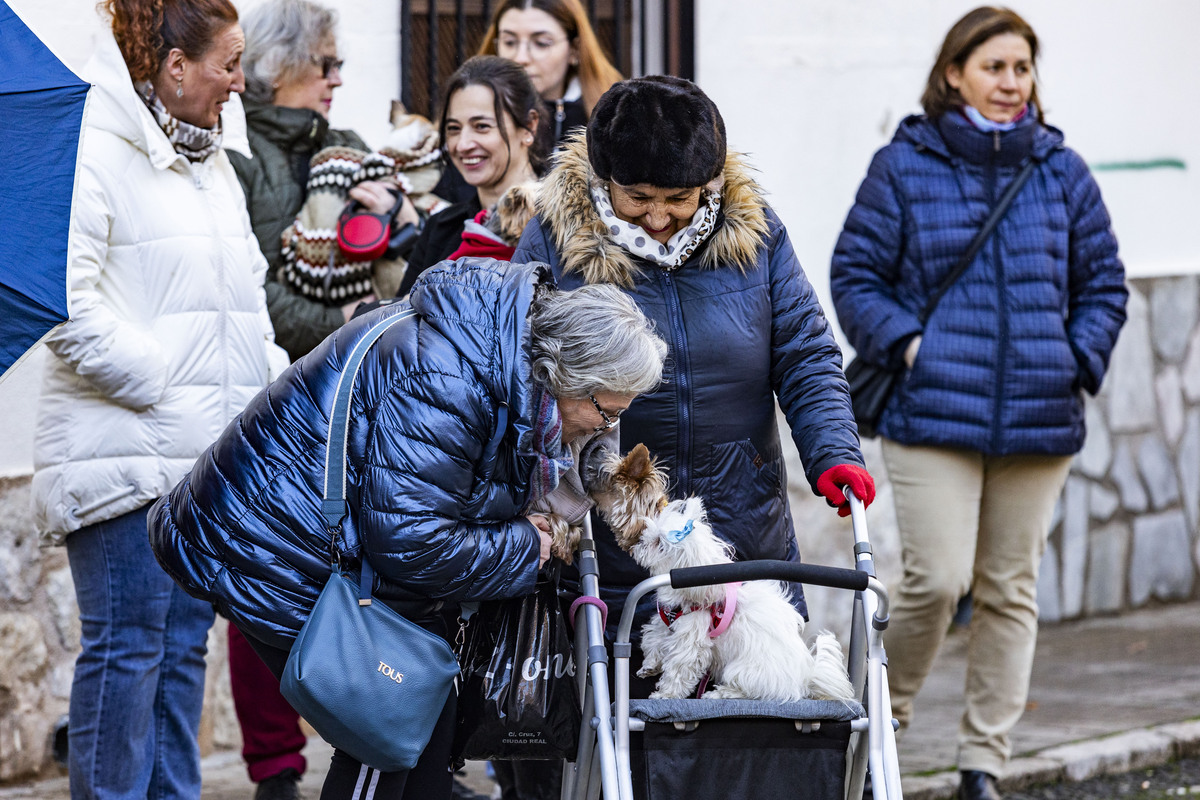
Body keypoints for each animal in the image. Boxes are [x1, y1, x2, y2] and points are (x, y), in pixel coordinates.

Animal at [590, 443, 854, 700]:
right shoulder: (668, 621)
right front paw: (650, 665)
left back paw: (720, 694)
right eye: (650, 530)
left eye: (660, 545)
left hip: (743, 670)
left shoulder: (691, 636)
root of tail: (805, 680)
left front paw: (665, 695)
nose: (641, 542)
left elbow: (679, 668)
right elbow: (654, 635)